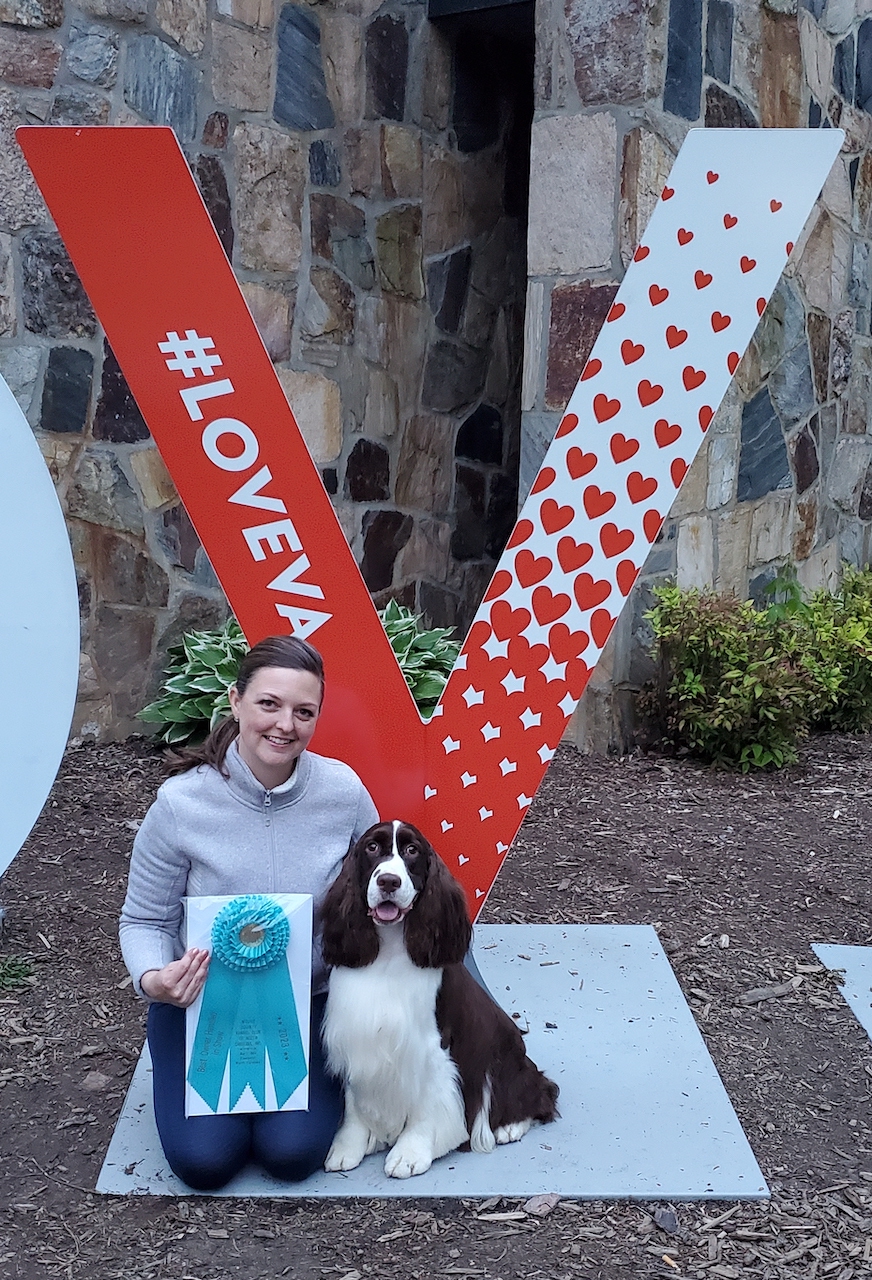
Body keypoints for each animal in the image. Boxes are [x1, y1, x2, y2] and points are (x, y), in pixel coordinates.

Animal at [320, 820, 559, 1179]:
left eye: (412, 850)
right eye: (372, 848)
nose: (388, 881)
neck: (389, 953)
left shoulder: (432, 1048)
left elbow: (429, 1101)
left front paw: (409, 1154)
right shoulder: (355, 1036)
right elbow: (353, 1099)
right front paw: (348, 1146)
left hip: (504, 1061)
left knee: (539, 1091)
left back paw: (508, 1127)